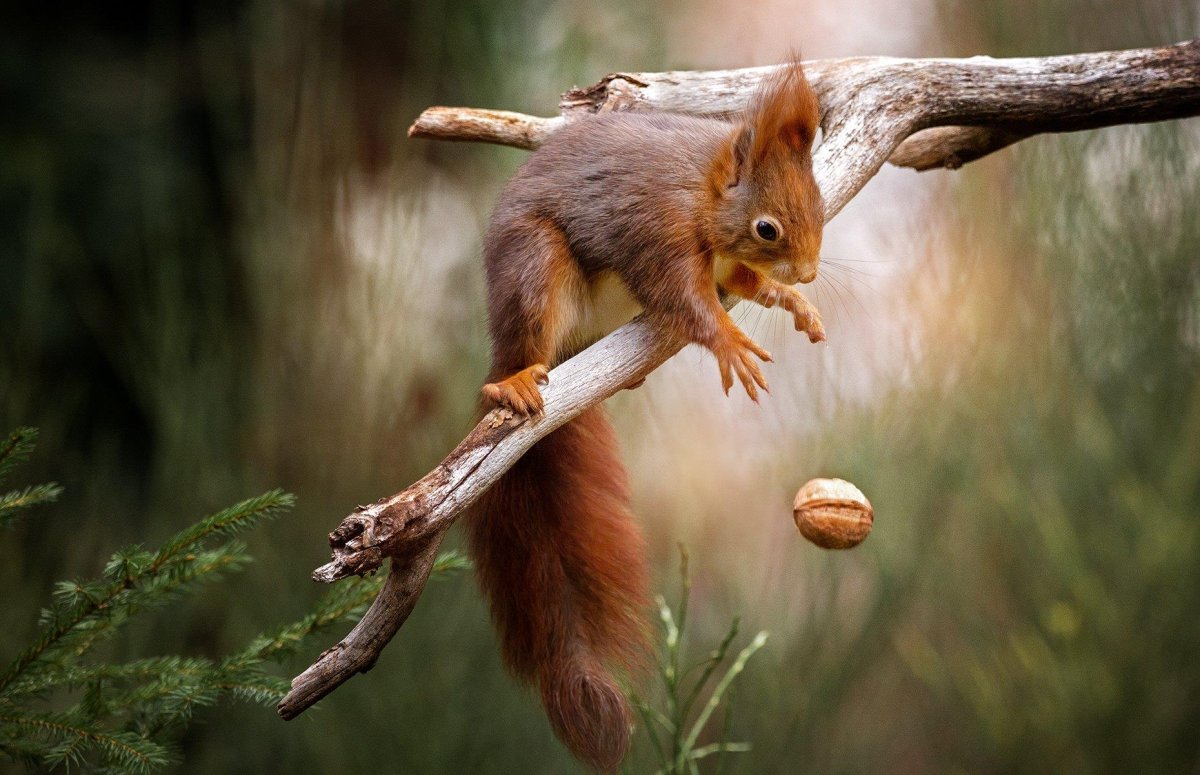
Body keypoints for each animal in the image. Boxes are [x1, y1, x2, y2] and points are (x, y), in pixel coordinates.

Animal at [466, 61, 825, 771]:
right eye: (767, 228)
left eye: (822, 203)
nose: (808, 271)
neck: (706, 190)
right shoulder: (655, 227)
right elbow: (683, 297)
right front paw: (728, 340)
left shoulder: (723, 261)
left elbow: (738, 284)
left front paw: (786, 298)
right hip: (534, 268)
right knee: (523, 348)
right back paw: (513, 382)